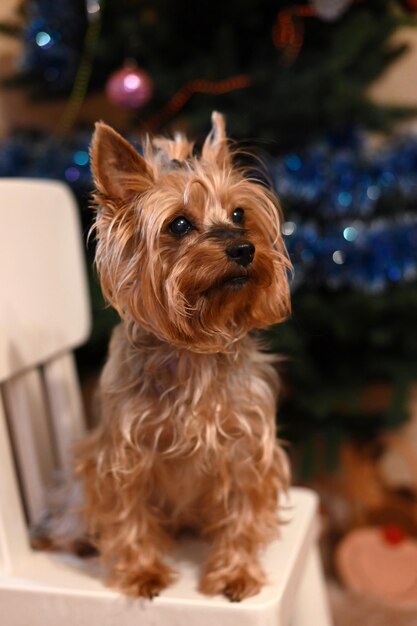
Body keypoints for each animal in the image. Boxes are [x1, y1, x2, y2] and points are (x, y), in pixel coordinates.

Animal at [64, 112, 290, 600]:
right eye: (180, 225)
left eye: (239, 213)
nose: (244, 248)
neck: (194, 350)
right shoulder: (122, 451)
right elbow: (127, 512)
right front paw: (142, 573)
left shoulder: (246, 447)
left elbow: (243, 511)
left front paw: (236, 573)